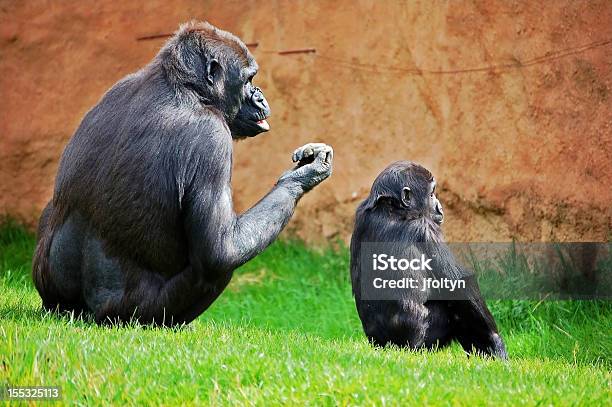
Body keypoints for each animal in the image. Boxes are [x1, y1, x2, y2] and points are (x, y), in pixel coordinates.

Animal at [33, 23, 334, 328]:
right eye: (249, 79)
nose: (259, 94)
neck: (185, 89)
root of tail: (82, 314)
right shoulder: (213, 139)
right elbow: (220, 251)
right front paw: (303, 176)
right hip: (134, 315)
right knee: (216, 269)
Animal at [350, 161, 506, 358]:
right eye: (431, 194)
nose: (439, 205)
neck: (391, 207)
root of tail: (388, 348)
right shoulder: (426, 229)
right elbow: (459, 283)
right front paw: (495, 342)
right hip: (421, 343)